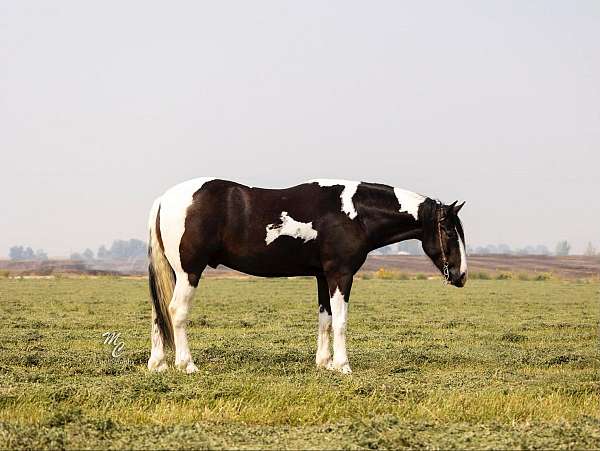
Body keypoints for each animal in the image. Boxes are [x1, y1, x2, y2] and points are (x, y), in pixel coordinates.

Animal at [148, 179, 466, 374]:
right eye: (450, 232)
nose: (461, 276)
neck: (354, 214)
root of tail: (164, 199)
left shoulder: (323, 277)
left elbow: (325, 319)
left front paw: (324, 363)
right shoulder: (341, 274)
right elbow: (340, 322)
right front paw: (343, 366)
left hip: (174, 273)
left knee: (158, 311)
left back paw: (158, 363)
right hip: (189, 272)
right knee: (176, 311)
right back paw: (187, 365)